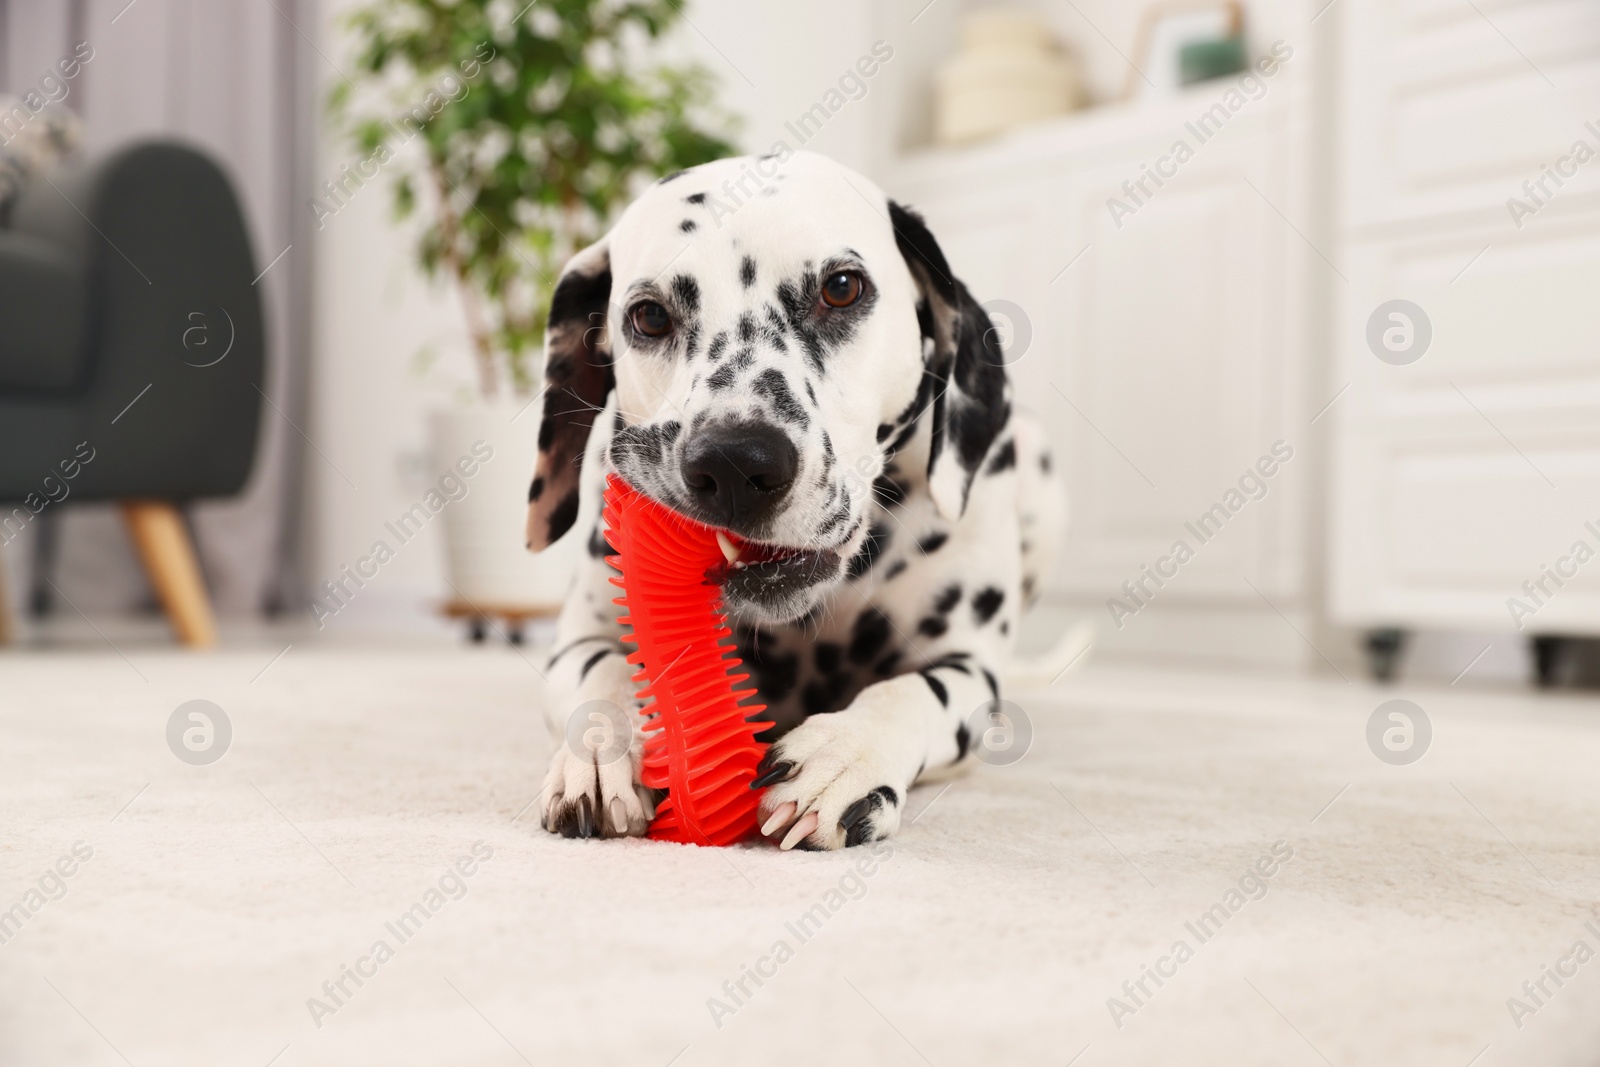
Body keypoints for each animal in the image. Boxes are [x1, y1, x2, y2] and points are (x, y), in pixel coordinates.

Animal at [524, 150, 1068, 851]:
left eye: (841, 287)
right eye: (649, 316)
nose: (734, 463)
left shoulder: (968, 667)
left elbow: (912, 693)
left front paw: (844, 756)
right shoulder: (582, 636)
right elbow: (604, 673)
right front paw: (604, 749)